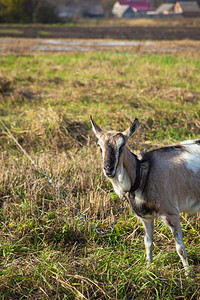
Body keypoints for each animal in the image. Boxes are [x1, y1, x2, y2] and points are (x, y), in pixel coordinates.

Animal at [90, 116, 200, 276]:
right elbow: (148, 244)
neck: (142, 174)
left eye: (122, 146)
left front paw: (188, 275)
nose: (108, 169)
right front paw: (148, 268)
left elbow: (180, 249)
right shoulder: (146, 217)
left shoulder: (171, 214)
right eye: (99, 146)